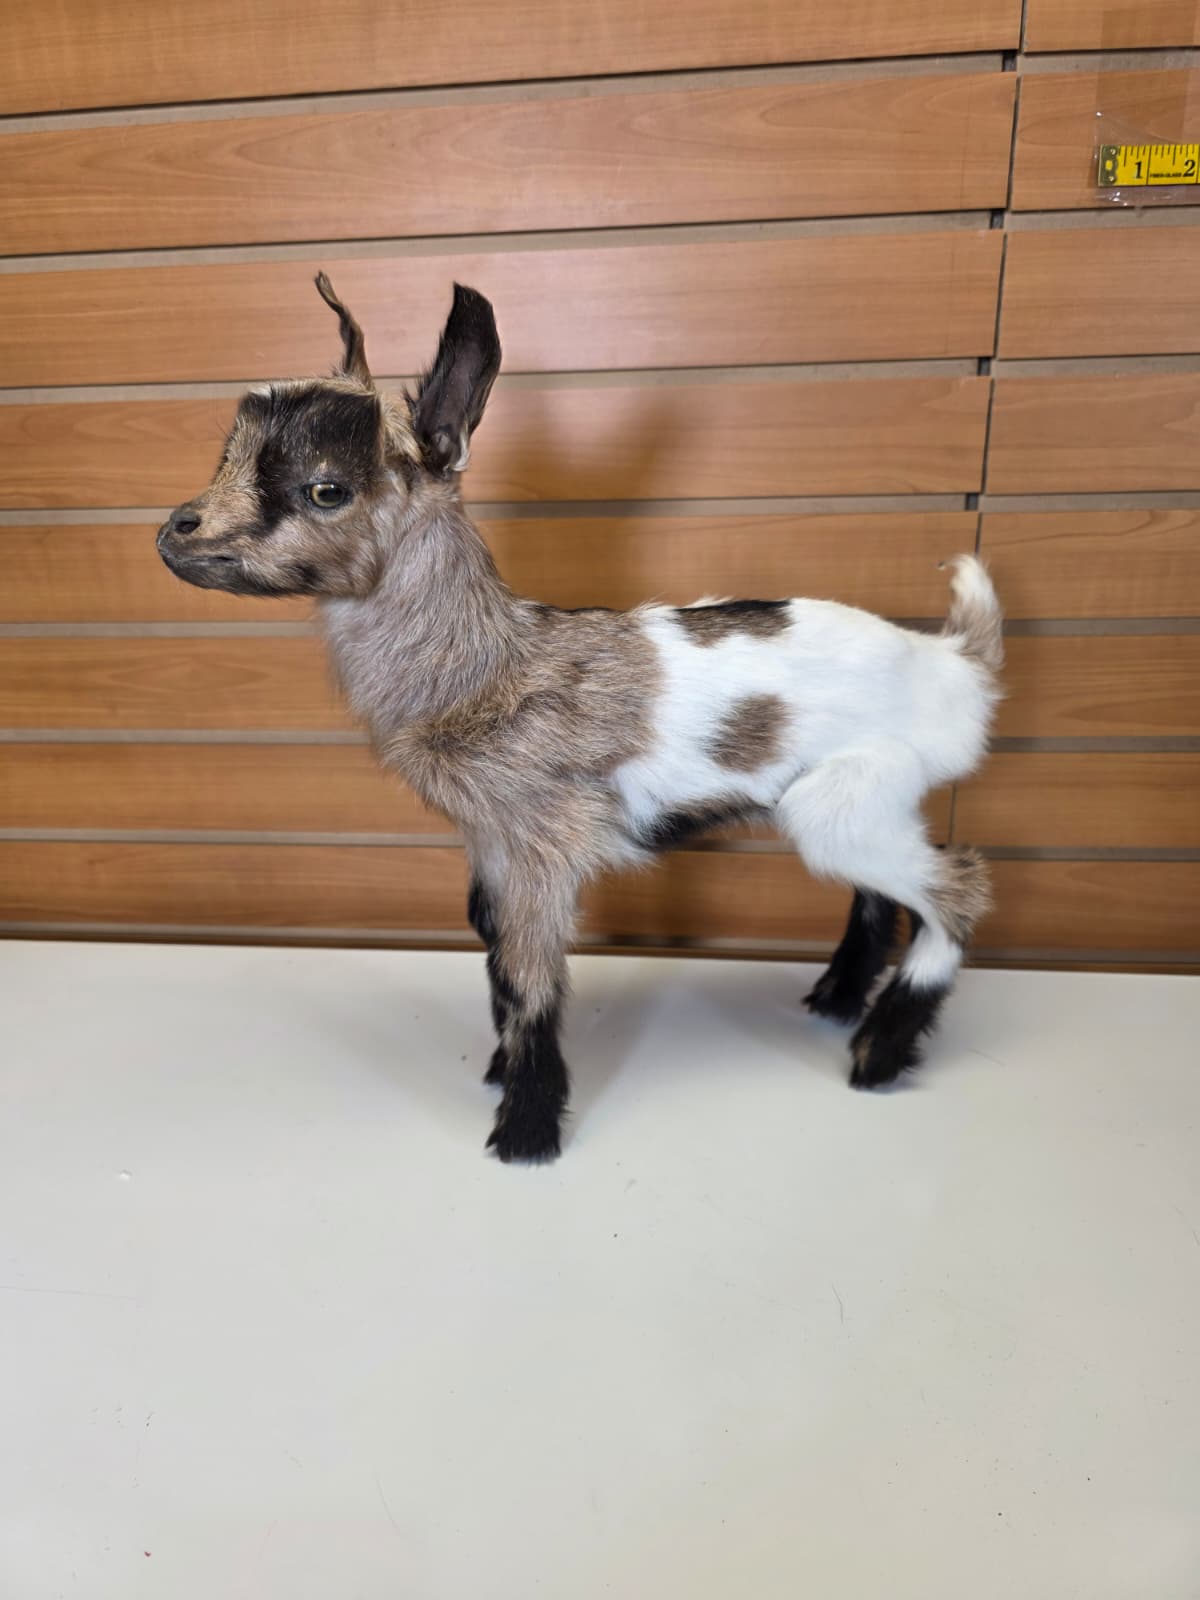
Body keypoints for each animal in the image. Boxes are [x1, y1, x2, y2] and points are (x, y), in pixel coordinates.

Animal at [157, 275, 1003, 1164]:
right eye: (226, 456)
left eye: (325, 487)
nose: (176, 532)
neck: (488, 664)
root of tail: (956, 665)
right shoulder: (489, 842)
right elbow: (494, 952)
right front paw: (500, 1073)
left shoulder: (543, 845)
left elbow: (532, 976)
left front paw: (524, 1133)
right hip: (863, 802)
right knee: (884, 892)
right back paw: (837, 1002)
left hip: (844, 801)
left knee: (958, 886)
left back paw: (878, 1056)